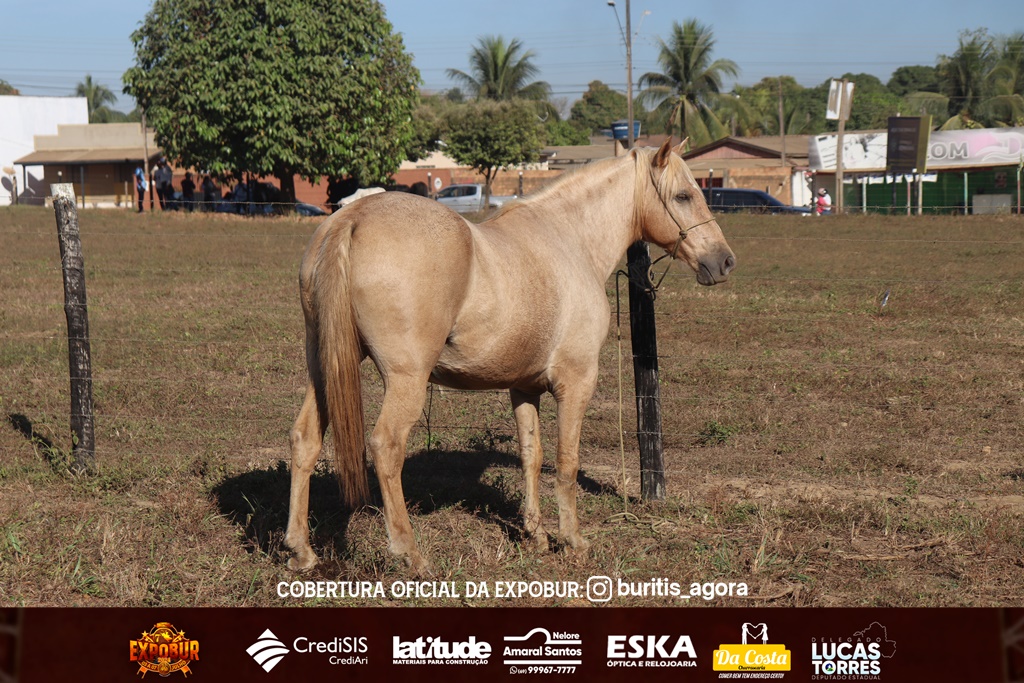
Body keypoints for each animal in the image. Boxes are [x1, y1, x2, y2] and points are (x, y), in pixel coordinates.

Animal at [286, 137, 737, 573]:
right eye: (683, 196)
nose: (725, 261)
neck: (571, 240)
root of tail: (351, 218)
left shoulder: (524, 387)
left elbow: (531, 456)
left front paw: (536, 535)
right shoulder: (576, 382)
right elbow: (567, 462)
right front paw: (572, 541)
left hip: (323, 368)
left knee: (305, 439)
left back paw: (302, 551)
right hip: (405, 379)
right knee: (386, 447)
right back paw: (410, 554)